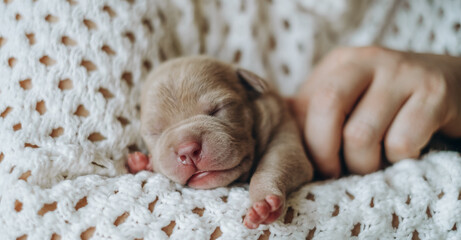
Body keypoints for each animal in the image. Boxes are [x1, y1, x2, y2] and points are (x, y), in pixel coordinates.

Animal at [126, 56, 312, 229]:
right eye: (155, 132)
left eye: (218, 109)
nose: (187, 150)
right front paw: (142, 161)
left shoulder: (283, 133)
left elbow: (275, 164)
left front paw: (264, 202)